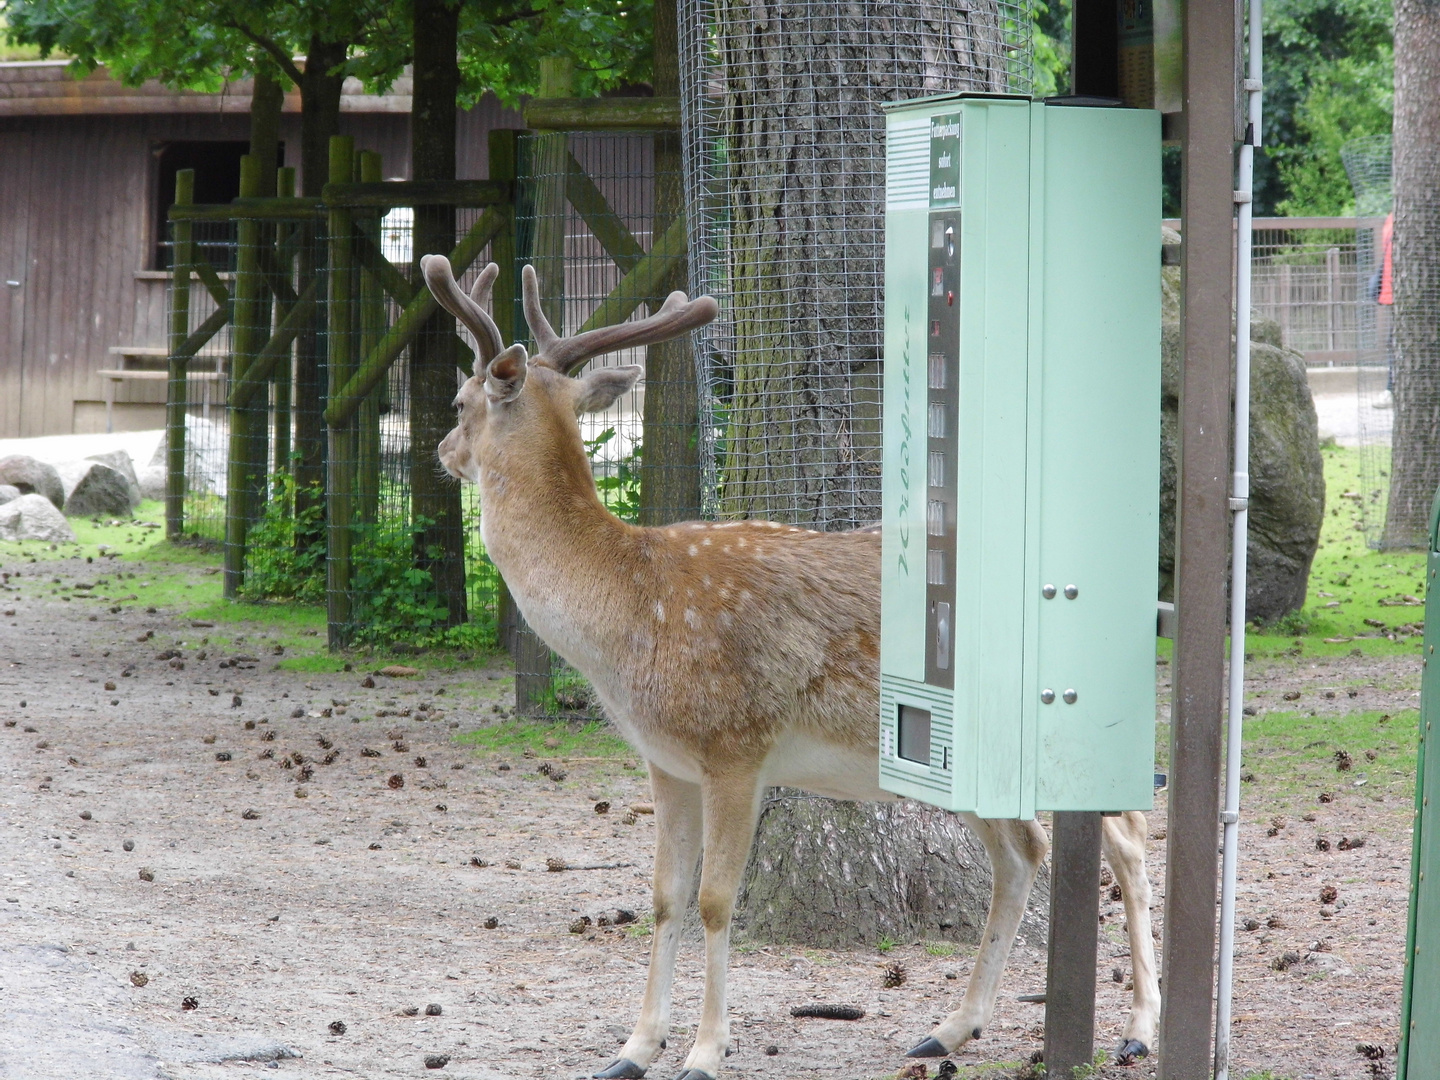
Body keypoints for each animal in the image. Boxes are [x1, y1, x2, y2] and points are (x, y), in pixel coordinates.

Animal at [420, 256, 1157, 1080]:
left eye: (459, 399)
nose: (443, 450)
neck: (628, 616)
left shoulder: (736, 744)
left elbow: (715, 900)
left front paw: (706, 1052)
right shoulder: (666, 762)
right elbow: (664, 897)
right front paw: (633, 1049)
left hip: (1063, 719)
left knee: (1128, 836)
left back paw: (1138, 1029)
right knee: (1023, 851)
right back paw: (949, 1029)